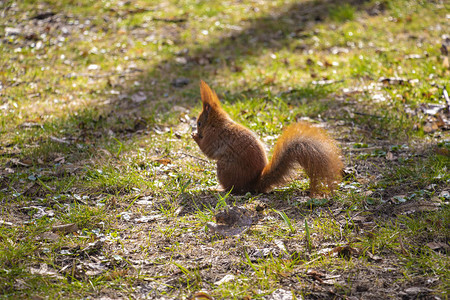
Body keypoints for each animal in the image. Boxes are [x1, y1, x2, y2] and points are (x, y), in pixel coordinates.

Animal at [192, 79, 342, 195]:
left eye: (199, 123)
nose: (196, 130)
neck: (217, 123)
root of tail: (253, 184)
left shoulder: (213, 137)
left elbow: (207, 149)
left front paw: (194, 136)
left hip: (224, 169)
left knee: (233, 189)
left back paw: (218, 189)